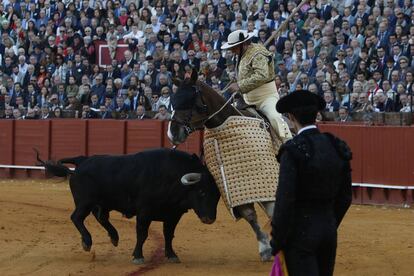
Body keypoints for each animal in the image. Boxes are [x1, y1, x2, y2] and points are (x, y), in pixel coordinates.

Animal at [37, 149, 222, 264]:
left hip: (102, 203)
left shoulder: (173, 215)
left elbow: (169, 235)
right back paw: (87, 242)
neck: (172, 177)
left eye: (218, 195)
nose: (209, 219)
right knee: (76, 217)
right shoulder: (144, 212)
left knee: (101, 217)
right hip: (85, 202)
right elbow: (142, 234)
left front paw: (171, 255)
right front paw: (138, 256)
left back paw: (114, 237)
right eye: (201, 192)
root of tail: (83, 160)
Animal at [167, 71, 276, 260]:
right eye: (173, 101)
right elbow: (249, 215)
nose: (173, 133)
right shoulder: (235, 187)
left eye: (191, 101)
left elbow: (272, 208)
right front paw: (265, 248)